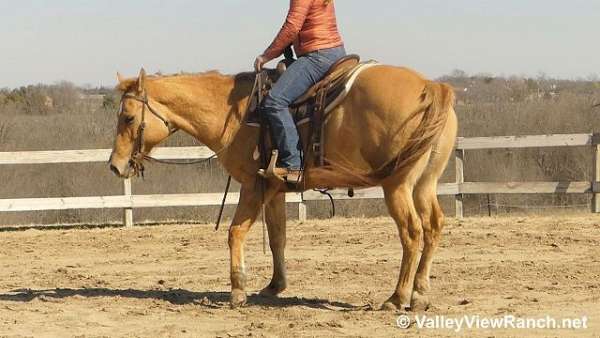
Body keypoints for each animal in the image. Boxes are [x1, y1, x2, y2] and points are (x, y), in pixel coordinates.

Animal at [110, 66, 458, 312]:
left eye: (128, 118)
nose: (115, 165)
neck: (234, 115)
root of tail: (431, 87)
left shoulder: (252, 187)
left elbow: (235, 232)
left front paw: (238, 290)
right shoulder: (274, 188)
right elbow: (278, 236)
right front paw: (274, 285)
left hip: (397, 186)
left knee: (412, 233)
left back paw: (397, 297)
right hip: (423, 185)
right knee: (433, 227)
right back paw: (420, 293)